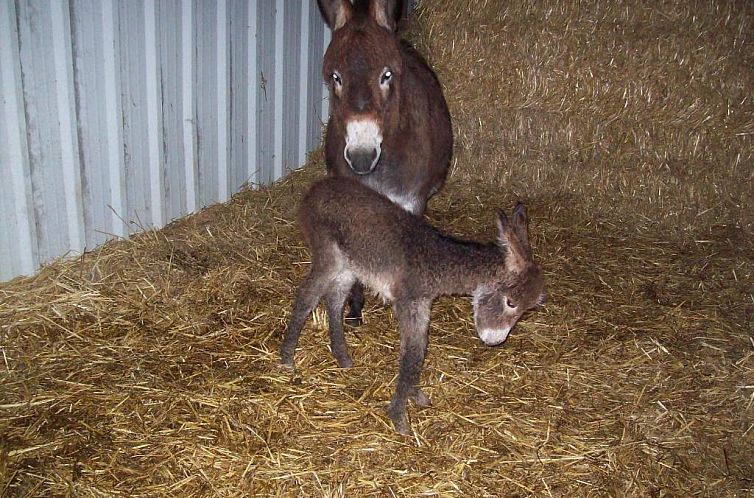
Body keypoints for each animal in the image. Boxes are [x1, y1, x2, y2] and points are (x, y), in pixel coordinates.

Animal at [280, 177, 544, 434]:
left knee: (334, 300)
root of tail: (318, 187)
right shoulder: (410, 303)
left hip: (350, 265)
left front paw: (414, 394)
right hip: (328, 256)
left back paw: (342, 357)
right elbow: (413, 352)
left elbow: (419, 348)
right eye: (511, 303)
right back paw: (287, 358)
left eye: (525, 310)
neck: (435, 261)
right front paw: (399, 417)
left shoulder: (423, 305)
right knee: (307, 297)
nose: (495, 341)